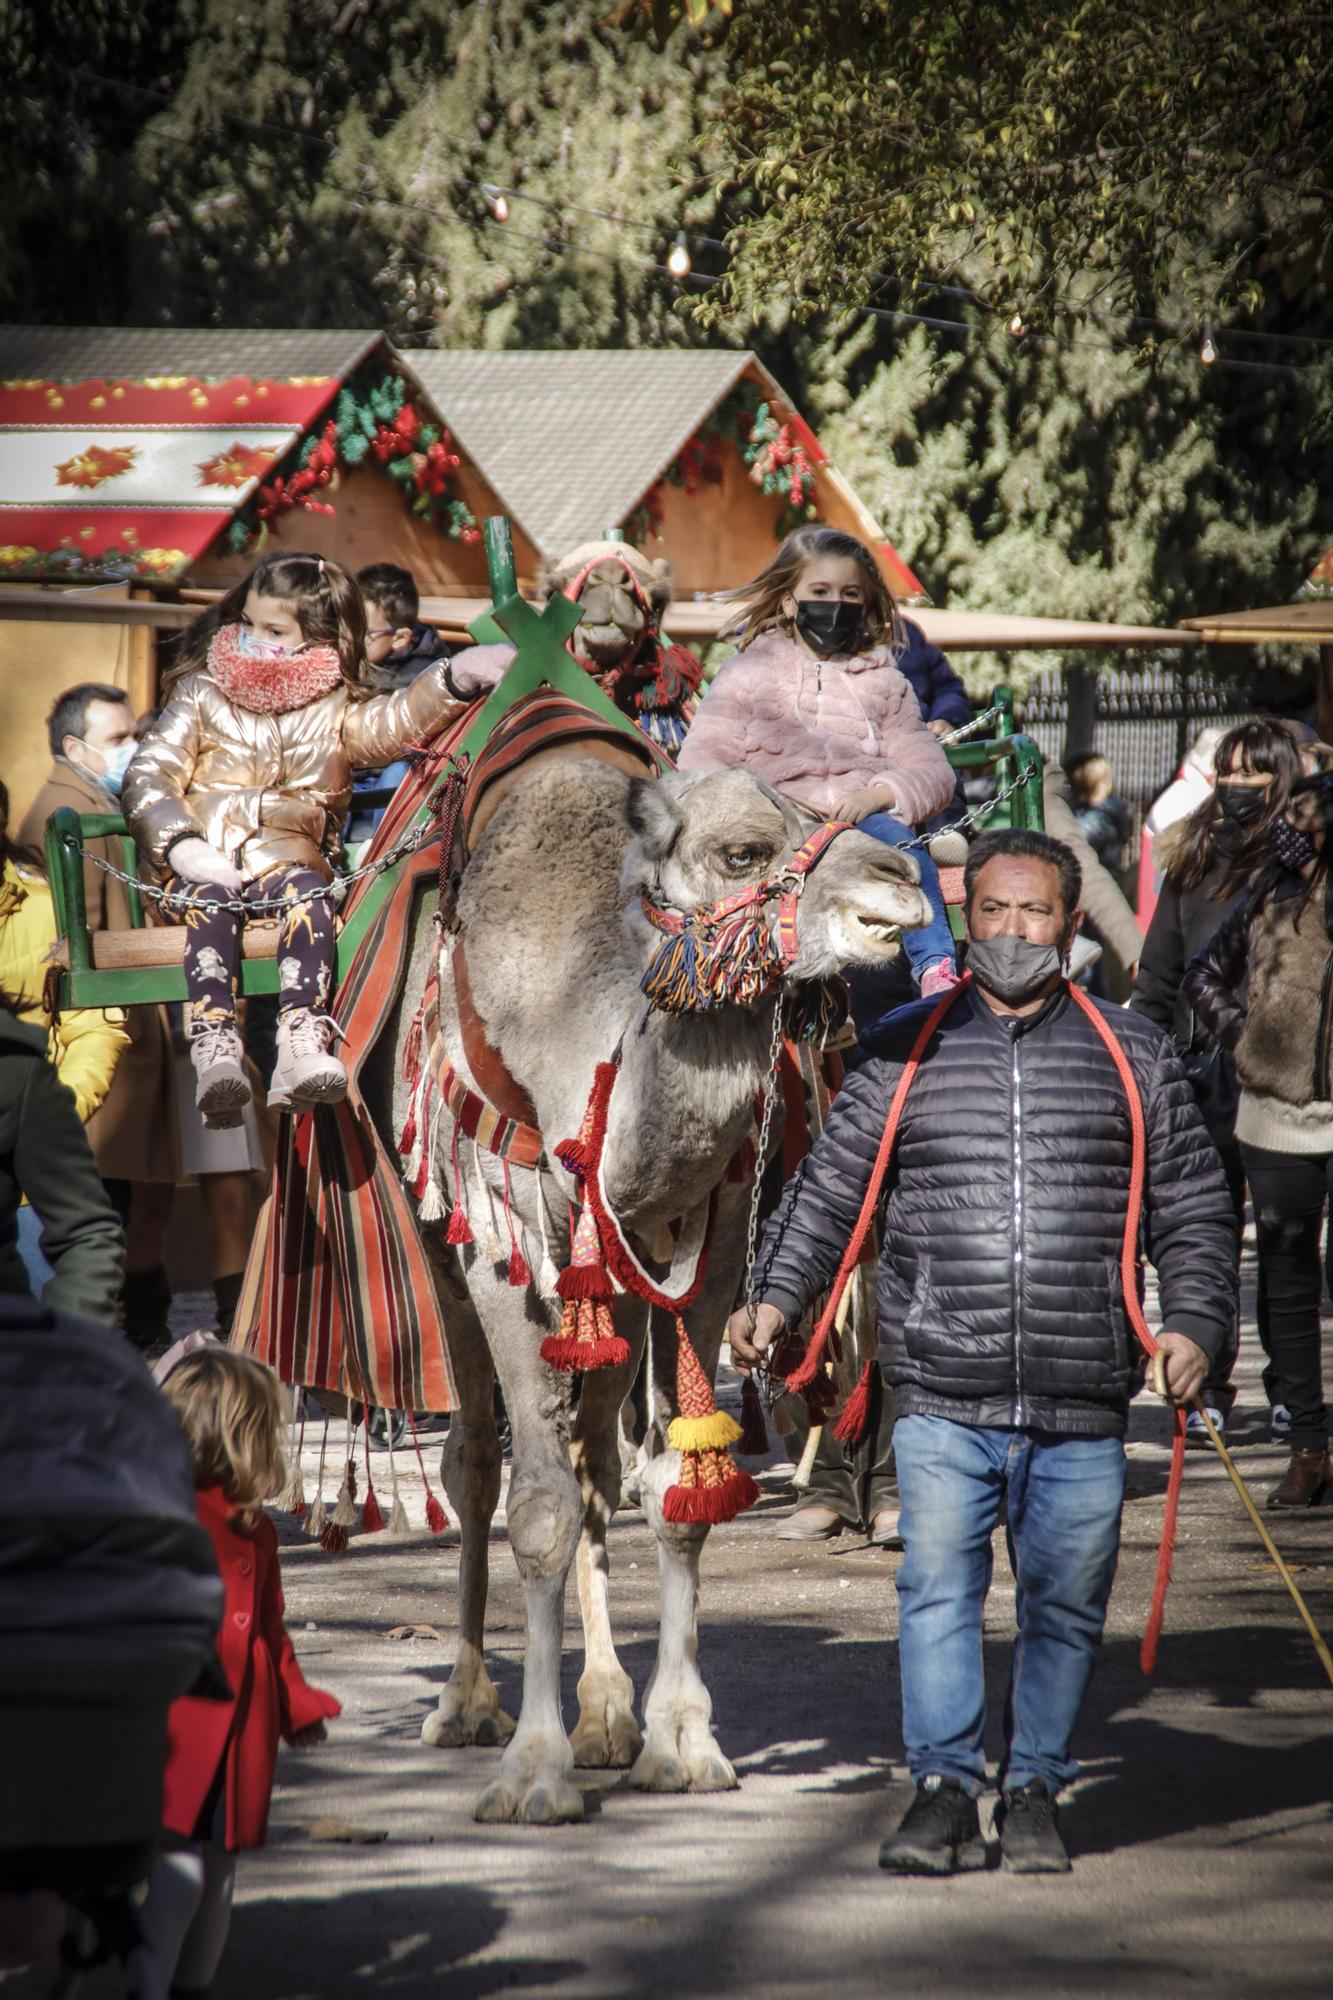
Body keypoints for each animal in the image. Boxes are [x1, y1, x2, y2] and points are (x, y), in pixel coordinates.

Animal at [374, 756, 924, 1824]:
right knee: (476, 1459)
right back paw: (469, 1704)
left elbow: (673, 1488)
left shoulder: (705, 1249)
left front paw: (678, 1744)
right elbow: (536, 1507)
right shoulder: (503, 1243)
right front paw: (533, 1771)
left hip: (617, 1291)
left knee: (594, 1455)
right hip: (437, 1237)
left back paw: (603, 1716)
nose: (901, 878)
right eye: (742, 850)